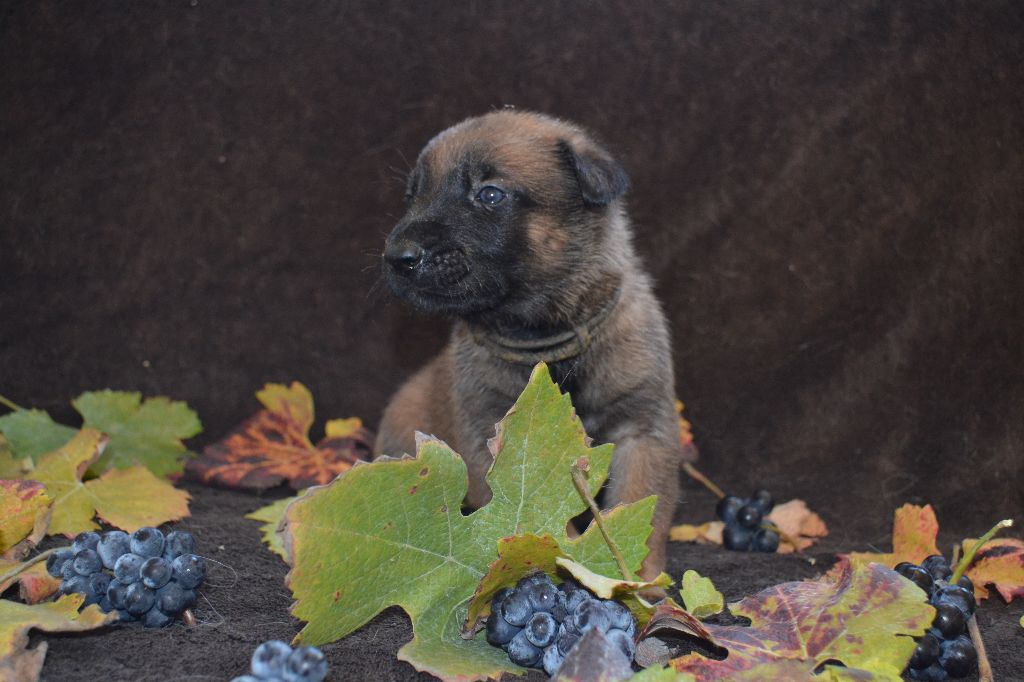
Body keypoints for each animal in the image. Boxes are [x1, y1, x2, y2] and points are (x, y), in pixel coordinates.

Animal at [374, 110, 690, 579]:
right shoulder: (489, 432)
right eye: (413, 195)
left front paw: (639, 580)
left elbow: (641, 504)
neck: (545, 341)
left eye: (489, 194)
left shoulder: (643, 431)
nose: (398, 257)